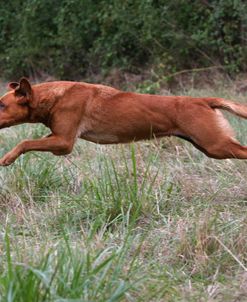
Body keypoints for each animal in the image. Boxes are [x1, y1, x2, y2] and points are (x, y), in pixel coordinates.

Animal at [0, 77, 247, 165]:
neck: (54, 96)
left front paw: (7, 158)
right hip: (208, 146)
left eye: (2, 105)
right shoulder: (57, 138)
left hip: (216, 145)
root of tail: (203, 100)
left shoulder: (64, 143)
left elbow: (25, 143)